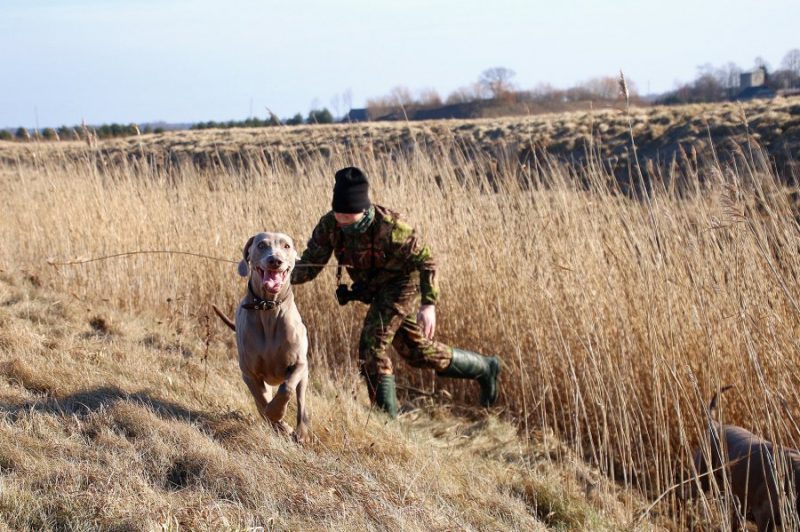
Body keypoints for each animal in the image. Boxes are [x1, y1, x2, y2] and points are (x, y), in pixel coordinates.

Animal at [212, 231, 310, 442]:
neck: (268, 308)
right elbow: (262, 401)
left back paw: (301, 432)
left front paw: (277, 412)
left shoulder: (299, 364)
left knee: (301, 400)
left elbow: (287, 388)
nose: (275, 260)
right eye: (261, 245)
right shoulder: (249, 373)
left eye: (286, 246)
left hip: (304, 376)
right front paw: (278, 419)